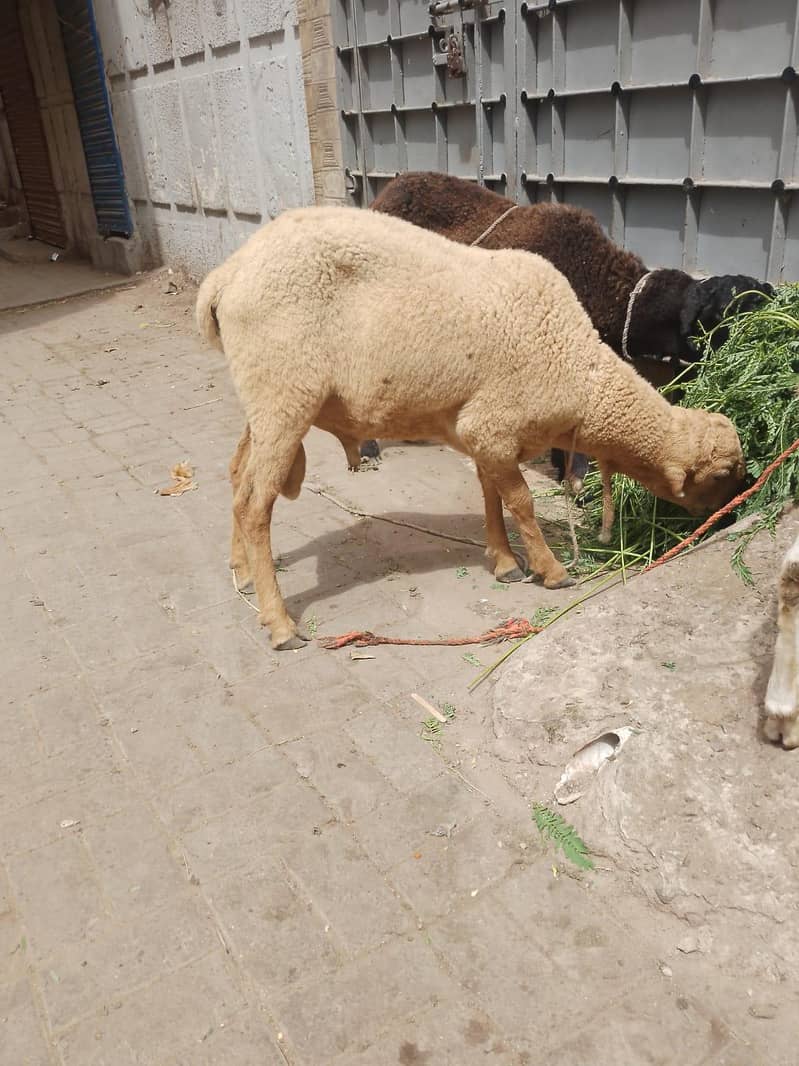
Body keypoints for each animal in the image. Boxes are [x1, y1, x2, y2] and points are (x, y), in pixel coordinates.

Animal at [196, 206, 745, 651]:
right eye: (722, 475)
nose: (732, 517)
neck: (580, 372)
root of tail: (226, 277)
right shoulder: (494, 424)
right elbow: (520, 500)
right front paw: (551, 571)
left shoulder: (480, 431)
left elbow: (491, 493)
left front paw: (504, 562)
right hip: (283, 394)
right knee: (255, 505)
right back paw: (280, 623)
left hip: (264, 400)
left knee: (237, 478)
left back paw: (242, 571)